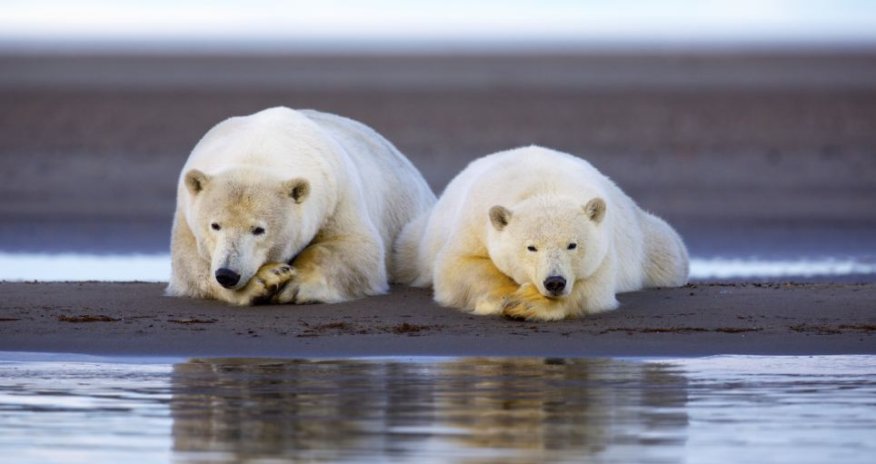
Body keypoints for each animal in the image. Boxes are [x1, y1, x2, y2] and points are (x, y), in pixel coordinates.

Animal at [166, 107, 436, 305]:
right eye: (215, 225)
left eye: (259, 229)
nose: (228, 274)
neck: (258, 148)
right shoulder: (186, 213)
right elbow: (189, 266)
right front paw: (264, 280)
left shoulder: (337, 194)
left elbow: (356, 248)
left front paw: (295, 285)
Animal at [394, 145, 688, 321]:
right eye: (531, 247)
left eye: (572, 245)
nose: (554, 282)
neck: (542, 186)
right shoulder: (475, 220)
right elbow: (457, 267)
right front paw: (505, 297)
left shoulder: (603, 248)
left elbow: (594, 288)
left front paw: (528, 303)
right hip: (416, 238)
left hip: (648, 241)